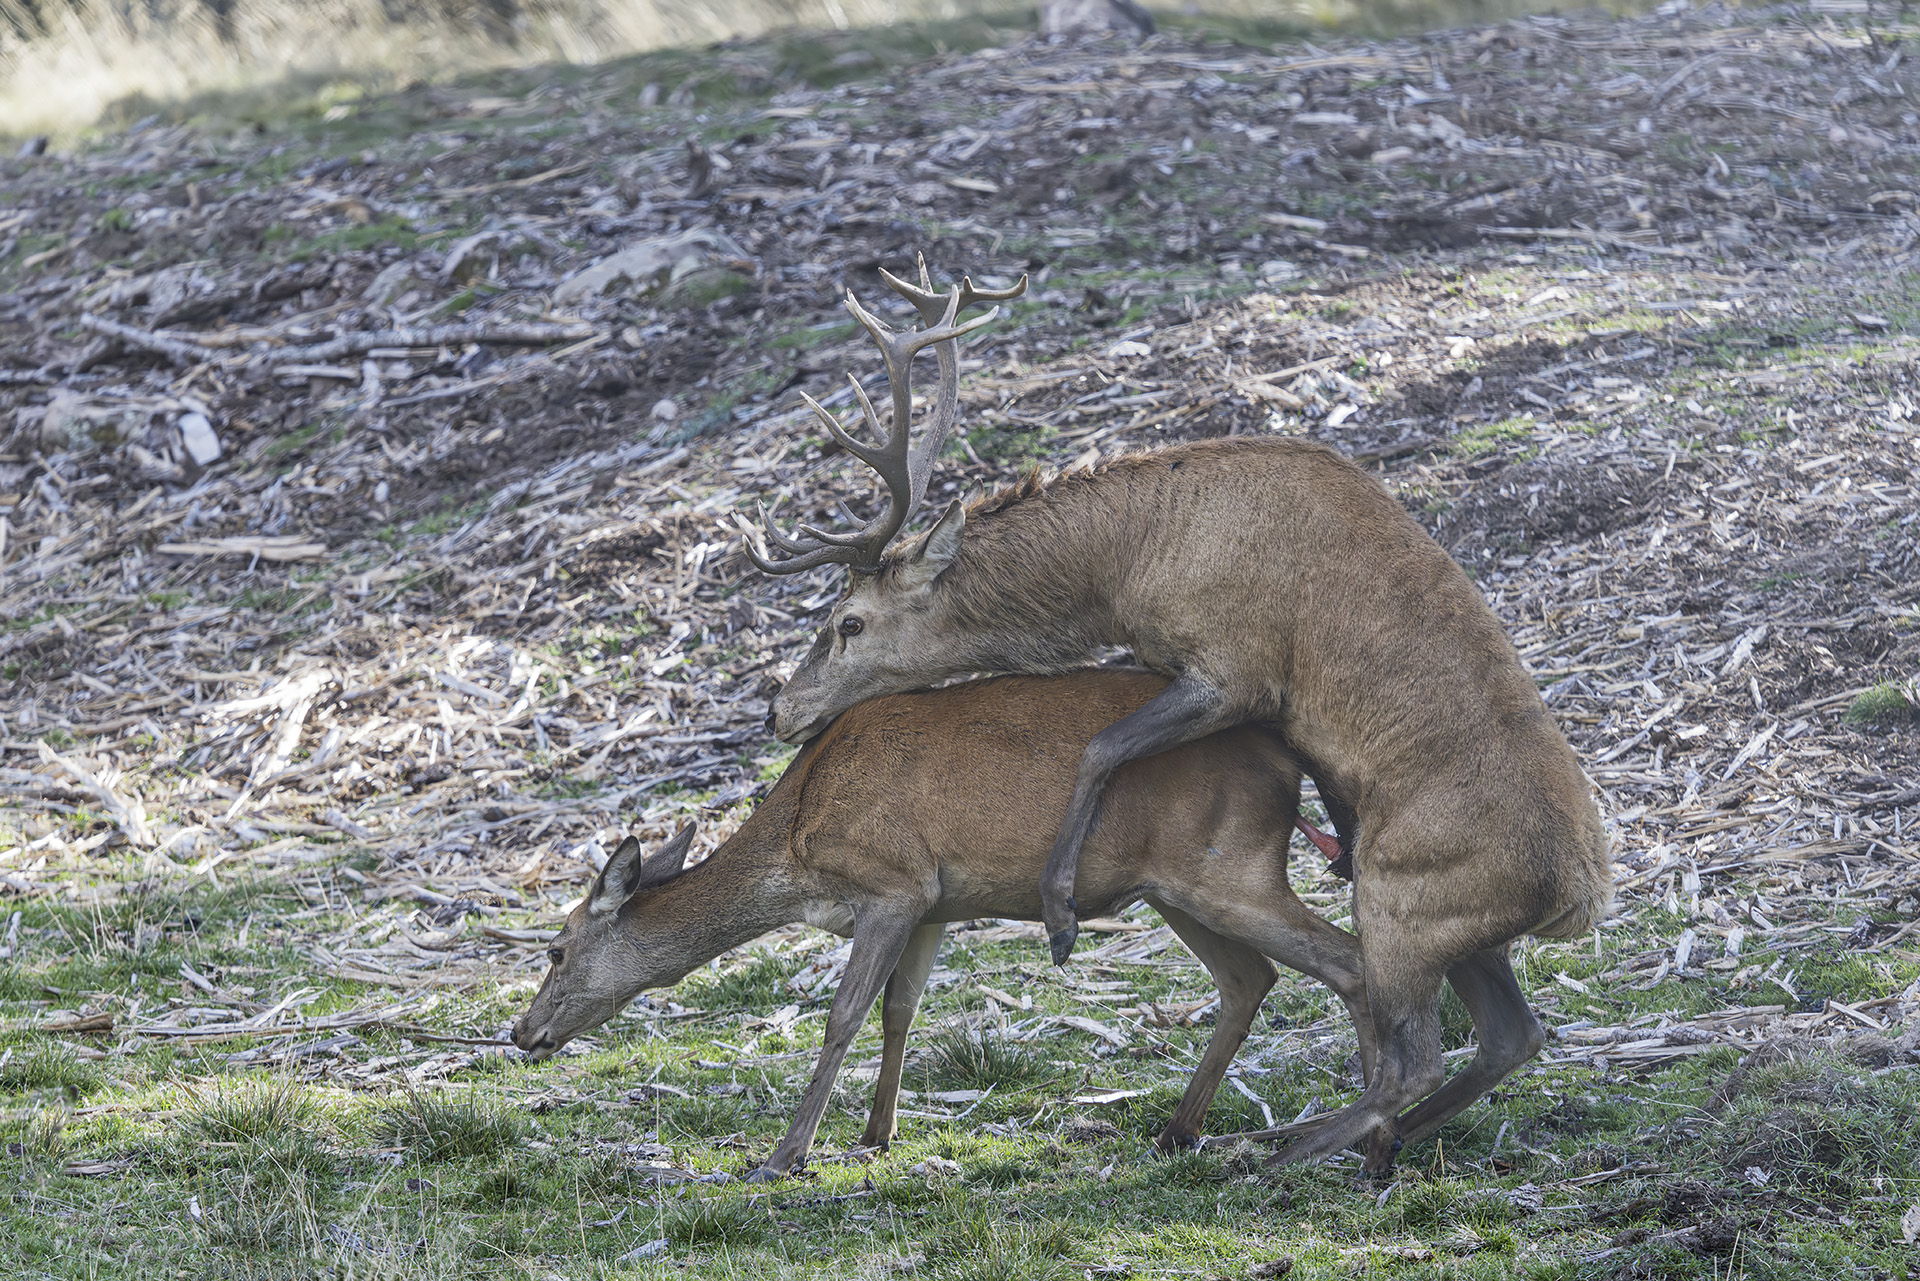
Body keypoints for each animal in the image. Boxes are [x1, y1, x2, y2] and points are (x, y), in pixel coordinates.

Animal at [512, 670, 1375, 1182]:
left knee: (1350, 959)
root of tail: (1289, 761)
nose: (520, 1032)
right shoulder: (934, 902)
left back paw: (1371, 1136)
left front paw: (784, 1154)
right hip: (1175, 885)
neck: (798, 842)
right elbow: (901, 1010)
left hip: (1230, 867)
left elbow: (844, 1014)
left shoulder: (894, 881)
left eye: (554, 949)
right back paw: (1178, 1129)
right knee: (1252, 976)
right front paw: (875, 1133)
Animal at [739, 265, 1614, 1176]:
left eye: (848, 622)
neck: (1129, 565)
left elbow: (1100, 746)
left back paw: (1271, 1142)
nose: (779, 709)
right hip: (1460, 929)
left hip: (1403, 900)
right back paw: (1369, 1144)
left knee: (1417, 1049)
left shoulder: (1233, 666)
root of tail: (1578, 897)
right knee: (1511, 1034)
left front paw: (1060, 916)